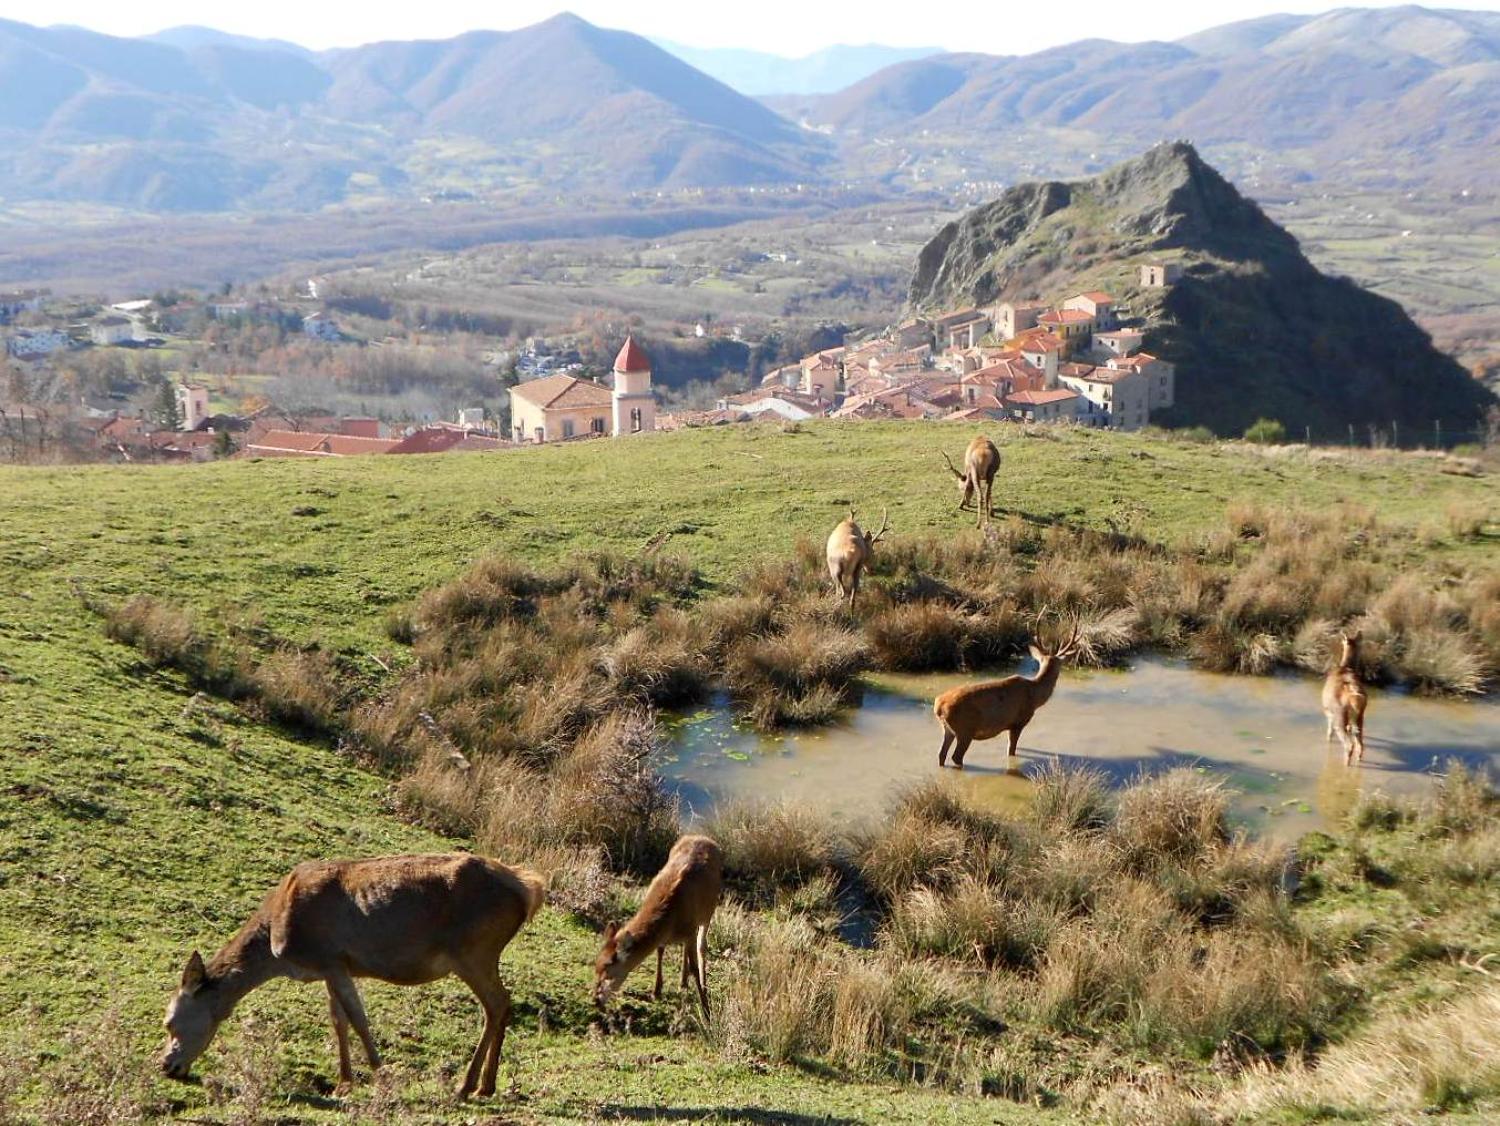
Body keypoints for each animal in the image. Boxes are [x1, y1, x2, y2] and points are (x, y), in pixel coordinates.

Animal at [159, 851, 546, 1103]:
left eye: (169, 1021)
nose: (166, 1065)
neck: (277, 942)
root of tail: (529, 889)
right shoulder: (333, 967)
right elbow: (338, 1020)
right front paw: (343, 1082)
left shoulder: (329, 956)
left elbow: (358, 1018)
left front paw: (381, 1074)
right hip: (479, 955)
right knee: (501, 1005)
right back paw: (485, 1085)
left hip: (473, 951)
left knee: (497, 1003)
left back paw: (467, 1086)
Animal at [591, 839, 720, 1019]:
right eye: (596, 968)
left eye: (610, 972)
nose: (595, 1001)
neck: (672, 917)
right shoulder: (673, 934)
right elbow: (660, 950)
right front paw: (656, 991)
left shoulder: (691, 928)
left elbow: (695, 967)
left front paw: (706, 1011)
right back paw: (682, 982)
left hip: (709, 912)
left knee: (702, 947)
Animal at [930, 620, 1086, 773]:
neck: (1035, 696)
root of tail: (939, 706)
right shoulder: (1017, 722)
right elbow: (1011, 751)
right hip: (965, 730)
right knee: (956, 756)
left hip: (948, 729)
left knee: (941, 754)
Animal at [1326, 635, 1374, 767]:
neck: (1345, 667)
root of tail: (1355, 696)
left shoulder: (1329, 713)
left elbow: (1329, 732)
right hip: (1360, 716)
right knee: (1360, 744)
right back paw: (1358, 761)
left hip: (1340, 715)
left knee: (1349, 744)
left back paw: (1345, 764)